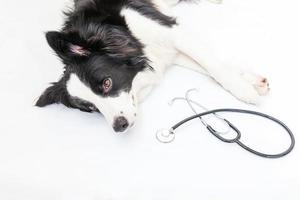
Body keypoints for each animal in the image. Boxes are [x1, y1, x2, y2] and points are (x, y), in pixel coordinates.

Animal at [35, 0, 270, 134]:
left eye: (107, 83)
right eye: (90, 108)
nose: (118, 126)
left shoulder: (172, 32)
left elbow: (212, 64)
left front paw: (245, 91)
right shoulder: (167, 52)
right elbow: (211, 66)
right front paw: (251, 80)